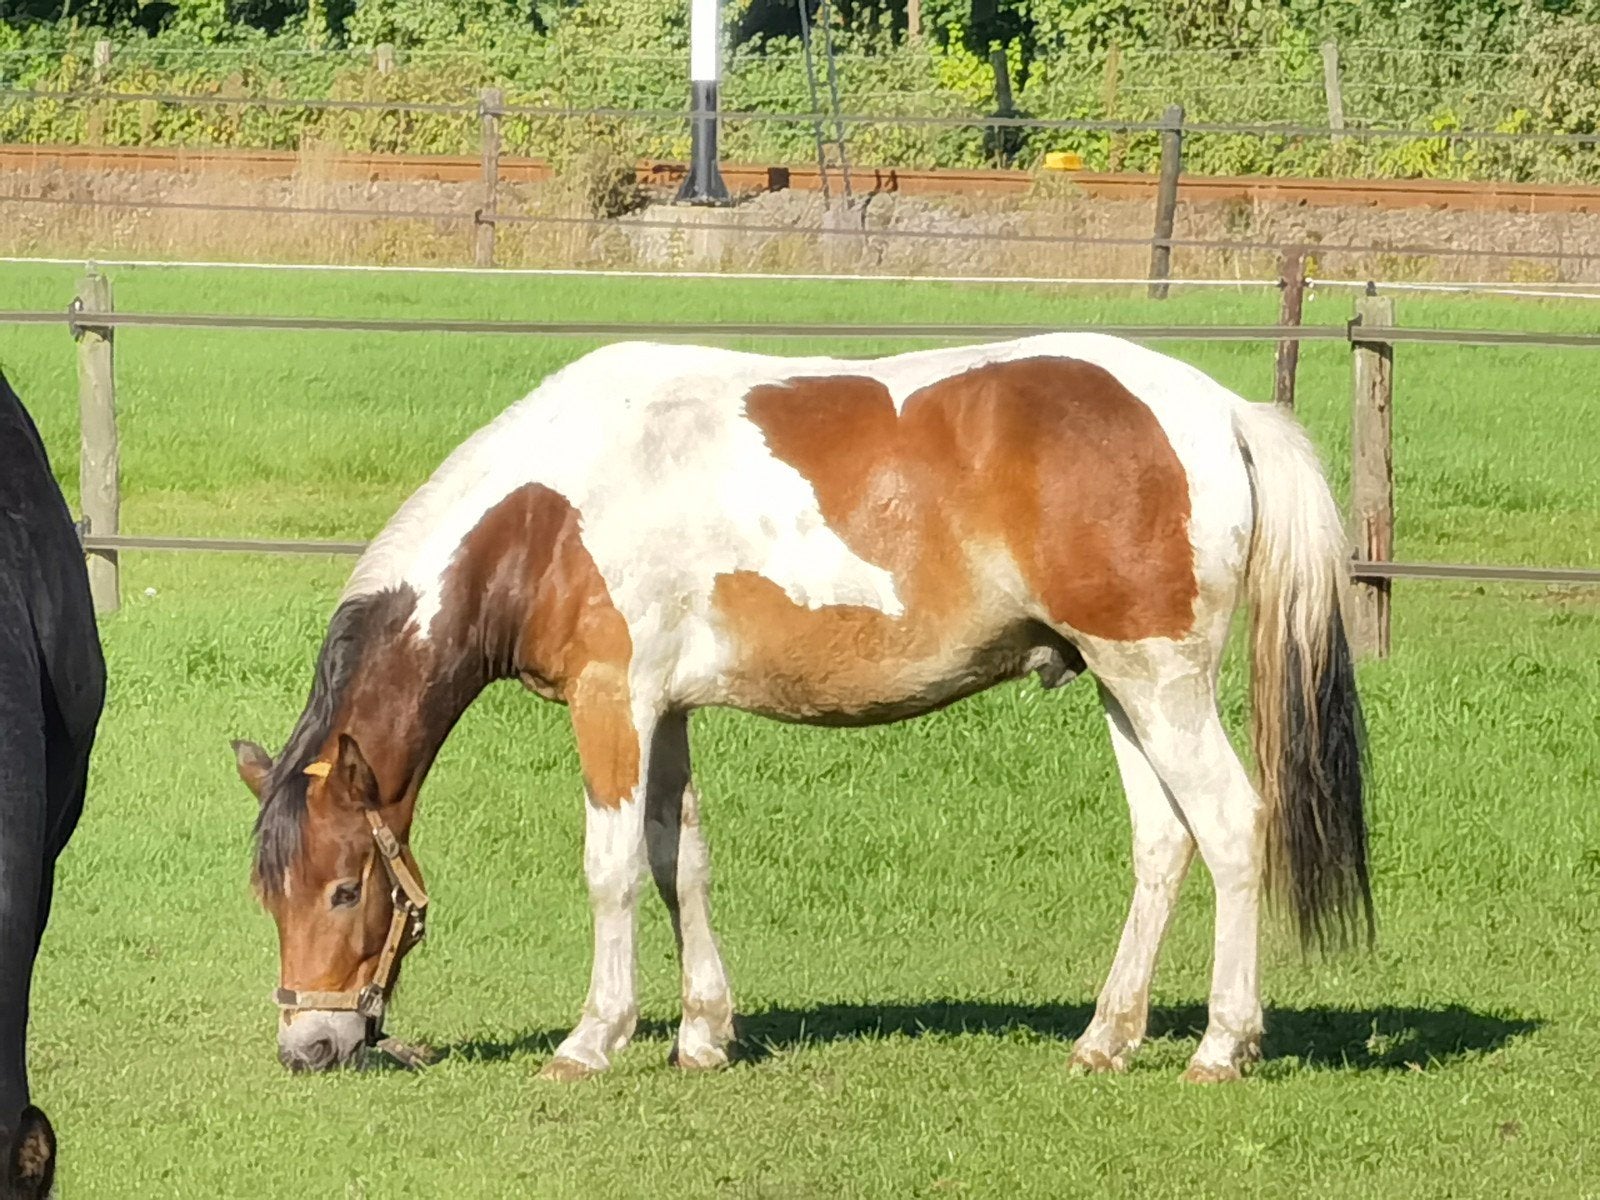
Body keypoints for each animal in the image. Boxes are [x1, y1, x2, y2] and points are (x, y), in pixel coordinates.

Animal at [232, 333, 1371, 1083]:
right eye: (267, 895)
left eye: (343, 890)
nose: (309, 1046)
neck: (541, 518)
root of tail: (1222, 412)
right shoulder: (668, 714)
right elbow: (678, 862)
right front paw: (701, 1034)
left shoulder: (613, 704)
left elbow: (611, 870)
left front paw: (594, 1039)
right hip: (1120, 685)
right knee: (1162, 845)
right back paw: (1107, 1039)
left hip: (1158, 681)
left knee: (1230, 827)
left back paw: (1222, 1044)